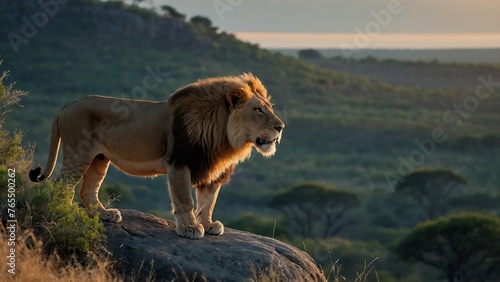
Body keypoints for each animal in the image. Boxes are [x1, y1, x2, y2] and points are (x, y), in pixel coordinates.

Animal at [28, 72, 286, 238]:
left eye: (270, 108)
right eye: (258, 110)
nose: (281, 127)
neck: (224, 135)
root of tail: (65, 106)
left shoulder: (211, 167)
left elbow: (208, 201)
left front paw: (208, 224)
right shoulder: (180, 163)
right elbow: (185, 199)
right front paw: (190, 228)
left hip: (99, 159)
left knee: (88, 190)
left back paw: (104, 214)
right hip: (78, 153)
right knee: (61, 186)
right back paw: (66, 212)